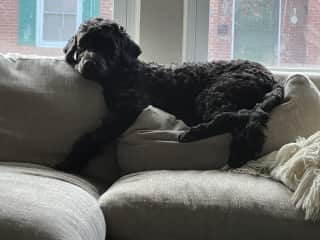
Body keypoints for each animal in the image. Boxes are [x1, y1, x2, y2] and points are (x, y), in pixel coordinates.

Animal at [57, 18, 282, 172]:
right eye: (83, 44)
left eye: (109, 47)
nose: (89, 64)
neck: (124, 71)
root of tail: (269, 76)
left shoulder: (128, 108)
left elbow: (94, 136)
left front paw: (71, 162)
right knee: (246, 121)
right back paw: (242, 149)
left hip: (214, 94)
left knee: (238, 115)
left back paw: (195, 133)